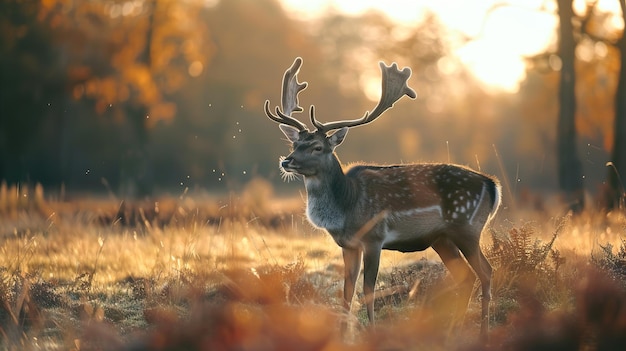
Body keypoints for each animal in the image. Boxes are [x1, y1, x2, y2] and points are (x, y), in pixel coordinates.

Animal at [264, 57, 498, 340]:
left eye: (318, 147)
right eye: (294, 145)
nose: (286, 161)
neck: (347, 207)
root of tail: (492, 185)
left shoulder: (374, 238)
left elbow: (368, 290)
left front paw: (372, 333)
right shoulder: (348, 245)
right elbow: (347, 291)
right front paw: (342, 335)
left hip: (467, 227)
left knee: (486, 272)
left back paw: (483, 333)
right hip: (442, 238)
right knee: (466, 277)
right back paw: (454, 330)